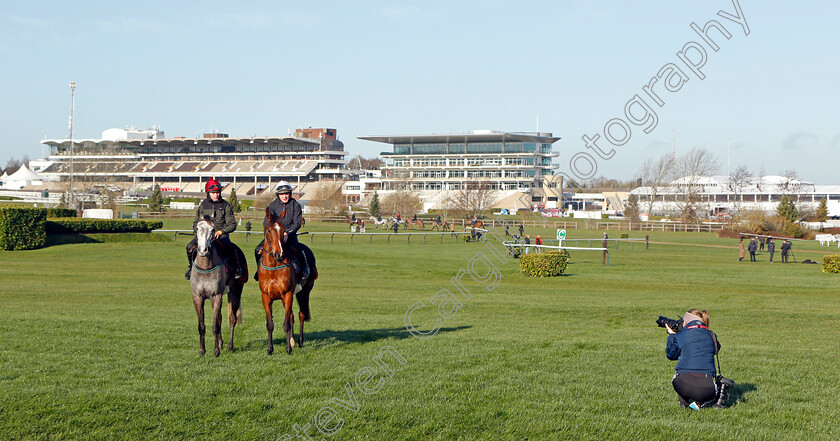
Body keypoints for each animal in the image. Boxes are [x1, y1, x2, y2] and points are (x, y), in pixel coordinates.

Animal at [188, 217, 246, 358]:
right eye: (197, 228)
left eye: (213, 229)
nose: (203, 250)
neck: (205, 267)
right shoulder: (198, 297)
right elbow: (202, 326)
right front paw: (202, 350)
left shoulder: (216, 296)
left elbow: (215, 326)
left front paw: (216, 351)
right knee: (220, 318)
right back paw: (220, 343)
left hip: (235, 292)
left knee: (232, 319)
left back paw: (230, 346)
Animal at [256, 206, 316, 354]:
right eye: (269, 230)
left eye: (283, 230)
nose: (279, 254)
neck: (273, 267)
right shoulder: (266, 297)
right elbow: (270, 324)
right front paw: (270, 349)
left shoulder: (287, 294)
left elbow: (286, 323)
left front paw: (288, 348)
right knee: (293, 315)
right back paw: (293, 341)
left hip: (304, 292)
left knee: (301, 314)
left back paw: (299, 342)